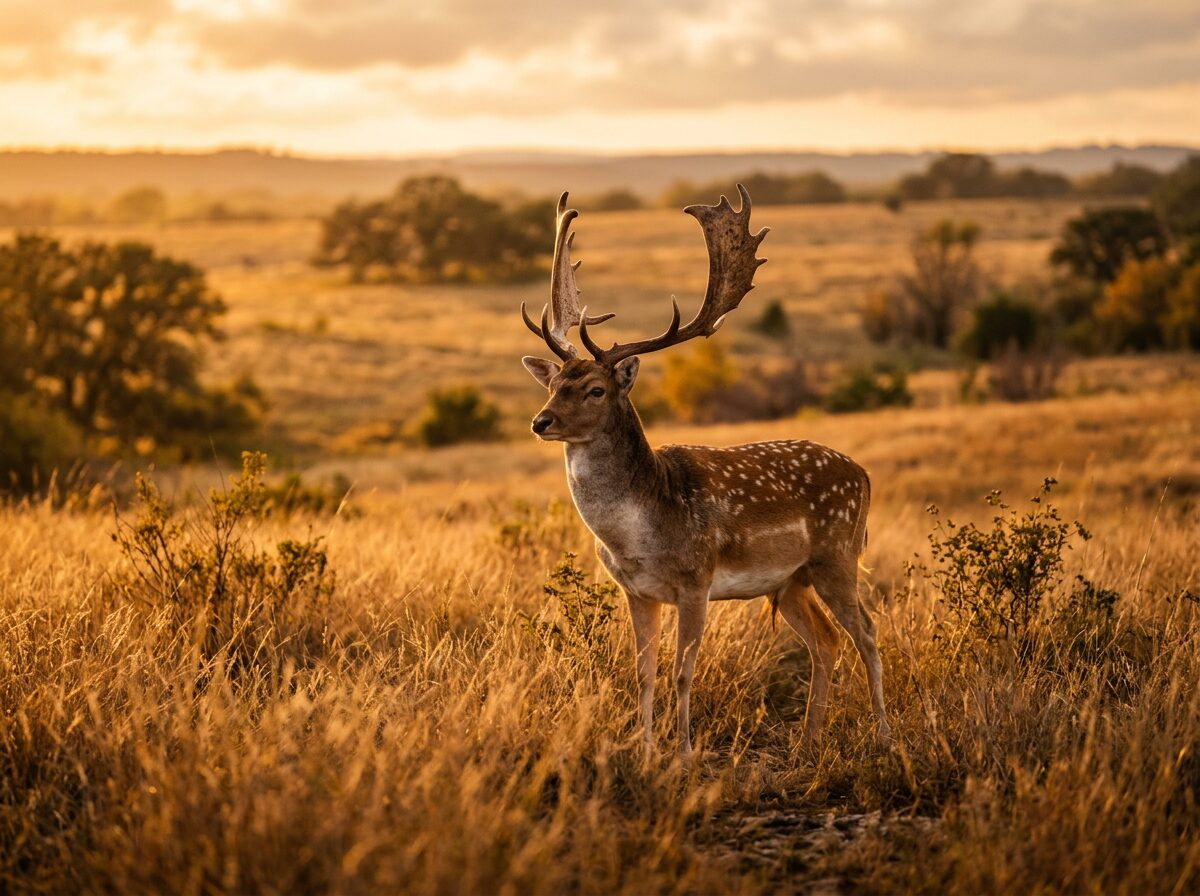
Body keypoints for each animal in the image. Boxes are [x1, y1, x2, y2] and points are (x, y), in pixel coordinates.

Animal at [519, 186, 890, 758]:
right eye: (555, 382)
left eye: (596, 389)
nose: (541, 421)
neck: (637, 533)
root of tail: (865, 475)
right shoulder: (637, 591)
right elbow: (644, 673)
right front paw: (646, 750)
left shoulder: (696, 580)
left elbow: (682, 672)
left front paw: (685, 752)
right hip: (790, 581)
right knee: (826, 641)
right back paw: (808, 744)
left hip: (838, 554)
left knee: (868, 634)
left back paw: (885, 737)